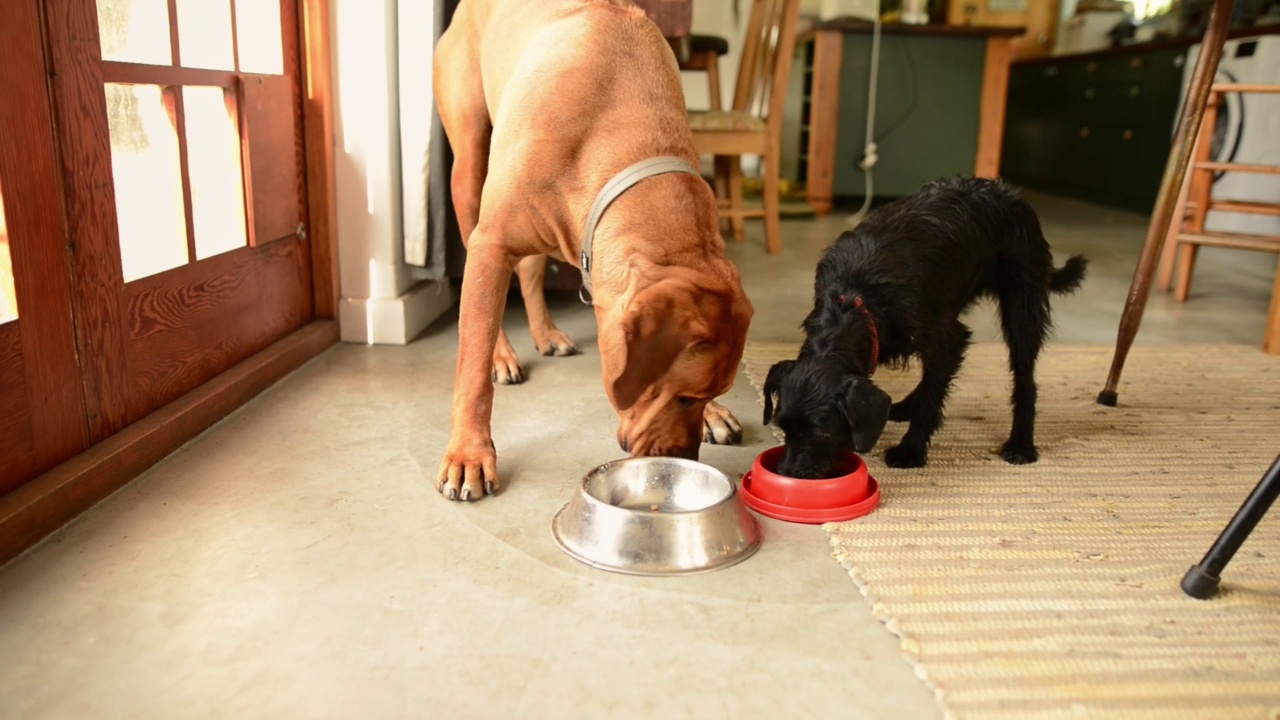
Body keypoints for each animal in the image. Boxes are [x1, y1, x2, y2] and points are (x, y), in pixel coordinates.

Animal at [432, 0, 747, 499]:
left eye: (705, 395)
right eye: (682, 398)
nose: (686, 459)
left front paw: (716, 416)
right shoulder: (492, 242)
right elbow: (473, 366)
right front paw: (469, 452)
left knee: (531, 270)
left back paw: (545, 333)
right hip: (469, 167)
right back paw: (504, 354)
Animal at [762, 175, 1085, 476]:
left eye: (822, 434)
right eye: (783, 428)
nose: (786, 474)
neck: (854, 299)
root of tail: (1010, 192)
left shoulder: (949, 337)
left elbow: (932, 398)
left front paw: (911, 450)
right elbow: (933, 383)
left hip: (1022, 310)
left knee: (1025, 379)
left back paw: (1021, 444)